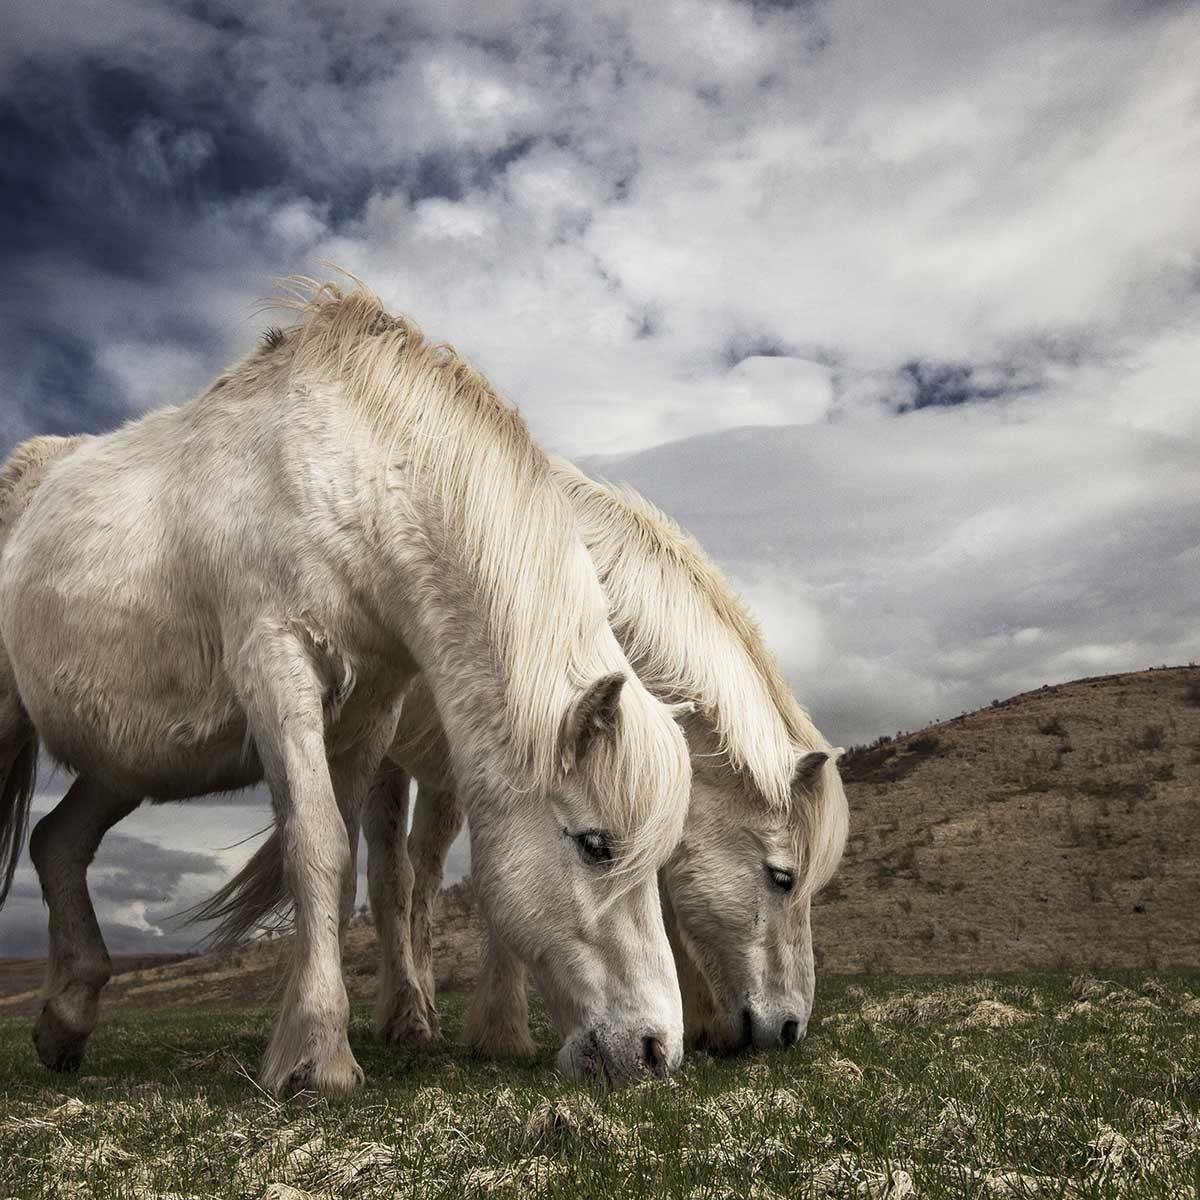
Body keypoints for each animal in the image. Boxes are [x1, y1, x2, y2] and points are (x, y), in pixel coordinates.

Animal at [0, 279, 693, 1093]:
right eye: (594, 845)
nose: (656, 1050)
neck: (350, 482)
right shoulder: (277, 667)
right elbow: (319, 845)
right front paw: (320, 1055)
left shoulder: (369, 713)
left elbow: (348, 869)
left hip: (123, 767)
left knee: (57, 844)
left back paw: (65, 1021)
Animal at [200, 456, 850, 1056]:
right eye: (783, 878)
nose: (789, 1029)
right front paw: (503, 1032)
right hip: (385, 758)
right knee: (390, 875)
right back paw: (400, 1017)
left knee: (424, 875)